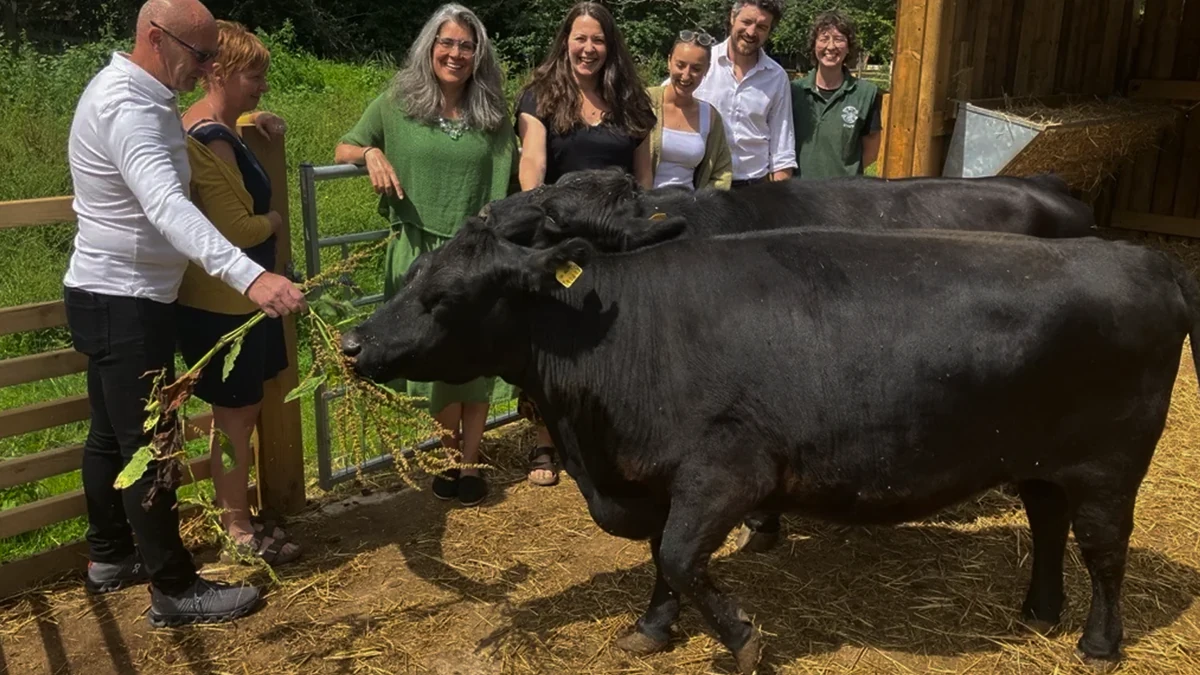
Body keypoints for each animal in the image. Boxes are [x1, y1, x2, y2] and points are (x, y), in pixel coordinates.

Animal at [340, 220, 1200, 674]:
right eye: (410, 276)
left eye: (444, 295)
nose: (349, 344)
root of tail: (1142, 257)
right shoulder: (659, 477)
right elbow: (663, 557)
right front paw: (652, 626)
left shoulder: (727, 470)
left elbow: (681, 554)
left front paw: (742, 637)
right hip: (1039, 460)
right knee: (1051, 526)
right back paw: (1038, 610)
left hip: (1109, 466)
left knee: (1105, 551)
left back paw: (1097, 640)